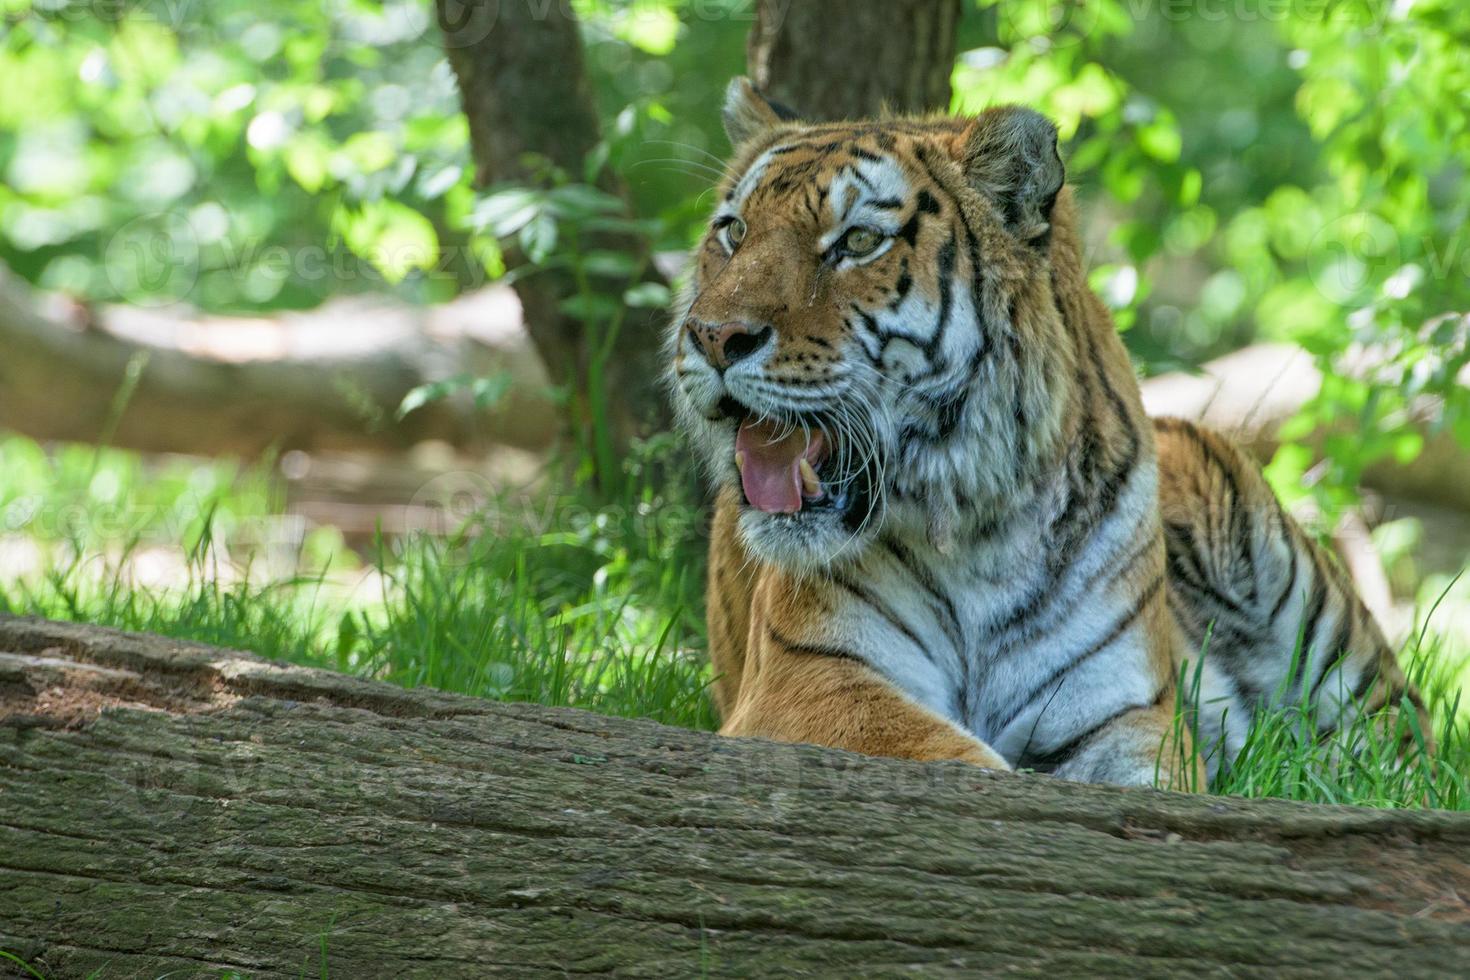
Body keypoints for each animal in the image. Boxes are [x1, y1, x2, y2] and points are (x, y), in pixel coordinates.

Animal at [673, 78, 1428, 787]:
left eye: (858, 241)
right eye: (734, 232)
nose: (710, 337)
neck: (978, 532)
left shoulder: (1126, 712)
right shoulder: (810, 678)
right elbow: (957, 758)